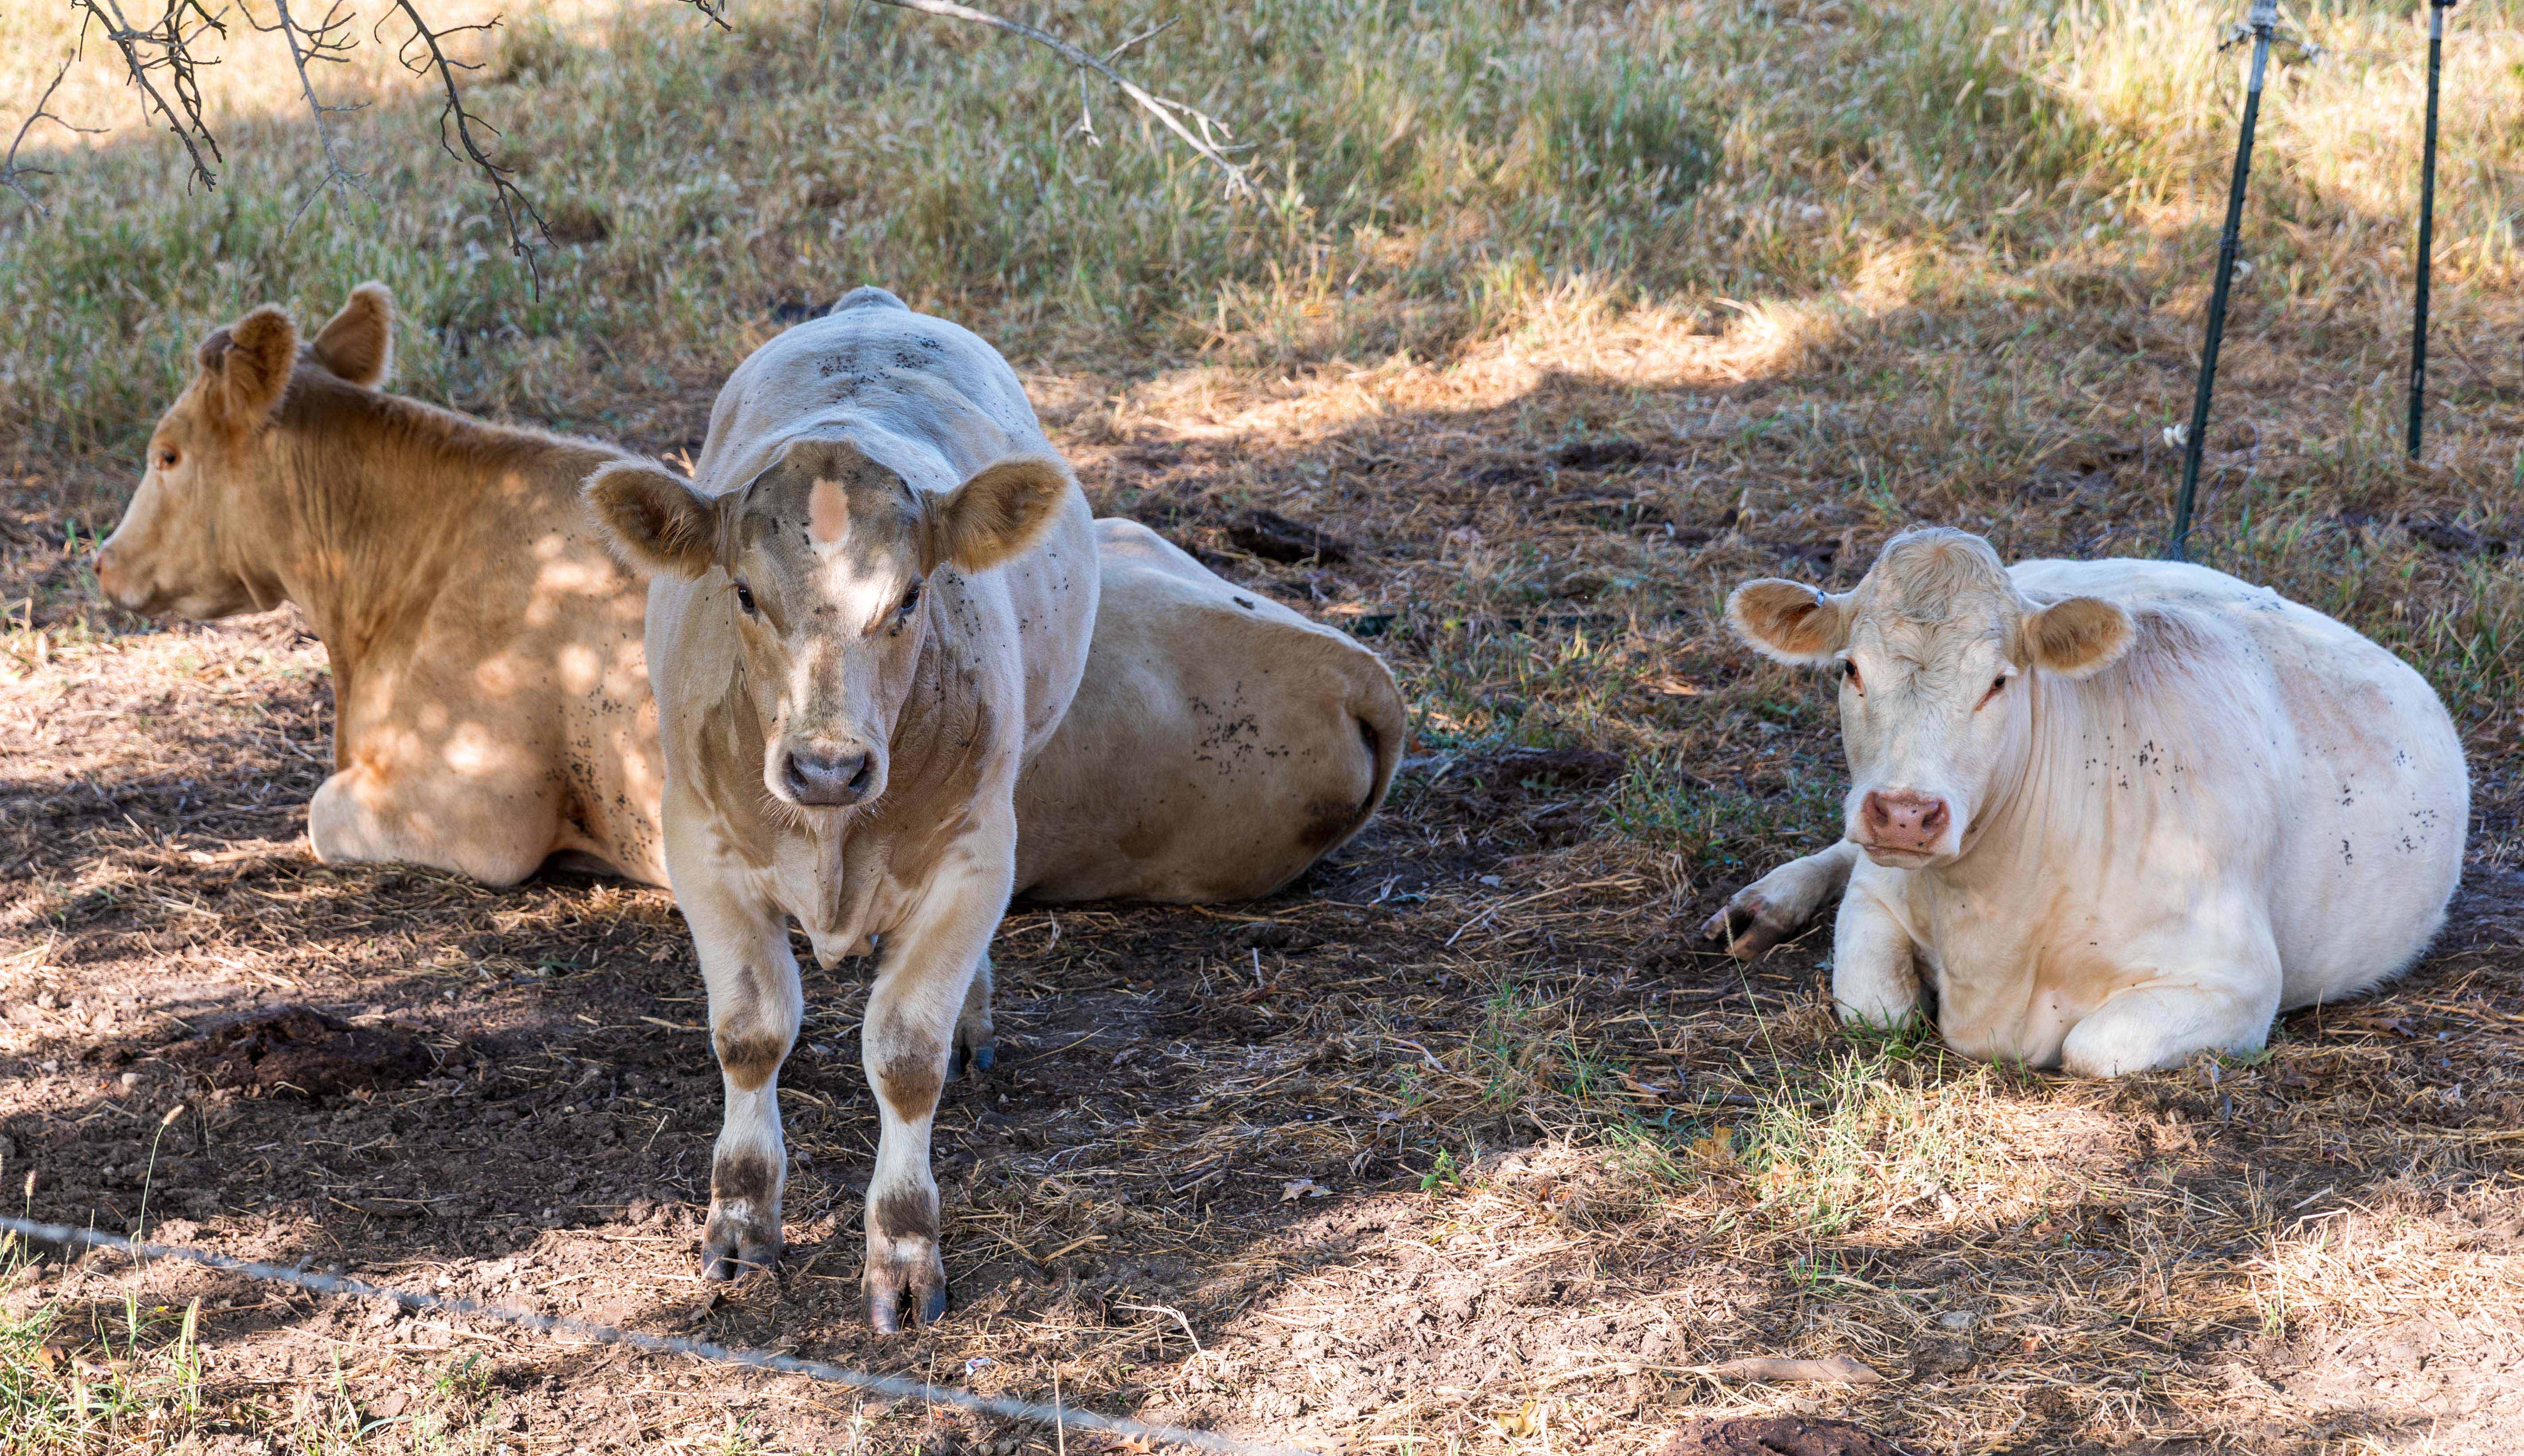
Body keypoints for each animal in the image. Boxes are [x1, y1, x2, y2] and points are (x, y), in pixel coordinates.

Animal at [585, 286, 1100, 1332]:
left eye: (909, 597)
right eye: (744, 593)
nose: (827, 768)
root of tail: (873, 304)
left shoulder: (972, 856)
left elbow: (905, 1052)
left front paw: (902, 1248)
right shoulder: (699, 845)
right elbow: (750, 1032)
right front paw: (740, 1221)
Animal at [1696, 527, 2463, 1075]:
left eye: (1998, 681)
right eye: (1850, 669)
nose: (1906, 814)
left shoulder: (2238, 982)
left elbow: (2093, 1047)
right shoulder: (1877, 892)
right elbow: (1876, 1007)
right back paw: (1764, 903)